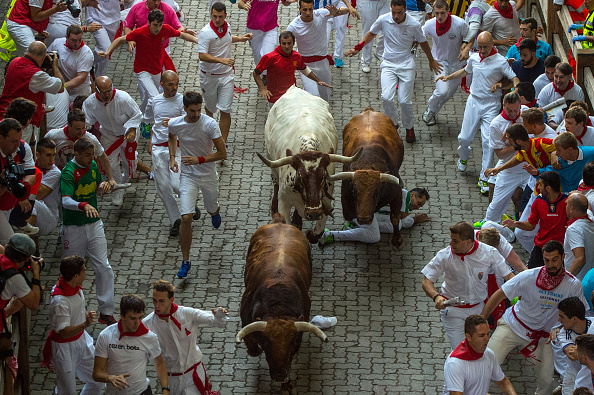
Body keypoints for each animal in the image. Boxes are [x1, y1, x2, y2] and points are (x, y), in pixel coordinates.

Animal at [236, 213, 328, 390]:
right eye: (267, 343)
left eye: (292, 345)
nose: (280, 375)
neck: (278, 304)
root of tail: (279, 222)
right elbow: (251, 342)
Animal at [254, 86, 356, 241]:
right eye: (301, 178)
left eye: (323, 178)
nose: (313, 214)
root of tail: (295, 89)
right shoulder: (284, 201)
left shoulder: (326, 197)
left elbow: (319, 230)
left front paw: (311, 233)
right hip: (270, 158)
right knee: (275, 181)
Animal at [328, 106, 402, 249]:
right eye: (354, 190)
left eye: (376, 192)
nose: (364, 219)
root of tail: (369, 110)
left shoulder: (397, 193)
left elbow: (395, 218)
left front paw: (397, 241)